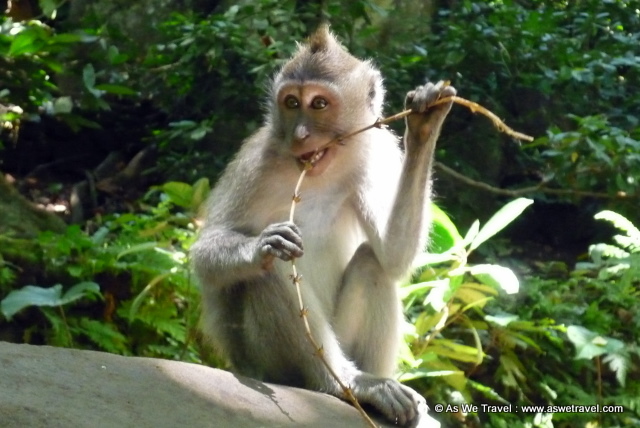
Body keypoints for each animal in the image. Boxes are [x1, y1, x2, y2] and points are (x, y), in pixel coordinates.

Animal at [190, 25, 455, 427]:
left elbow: (393, 257)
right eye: (291, 103)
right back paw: (342, 383)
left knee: (372, 263)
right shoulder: (255, 163)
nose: (300, 135)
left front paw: (425, 123)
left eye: (318, 104)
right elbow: (206, 255)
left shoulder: (376, 153)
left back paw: (376, 389)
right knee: (270, 270)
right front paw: (258, 246)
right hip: (263, 363)